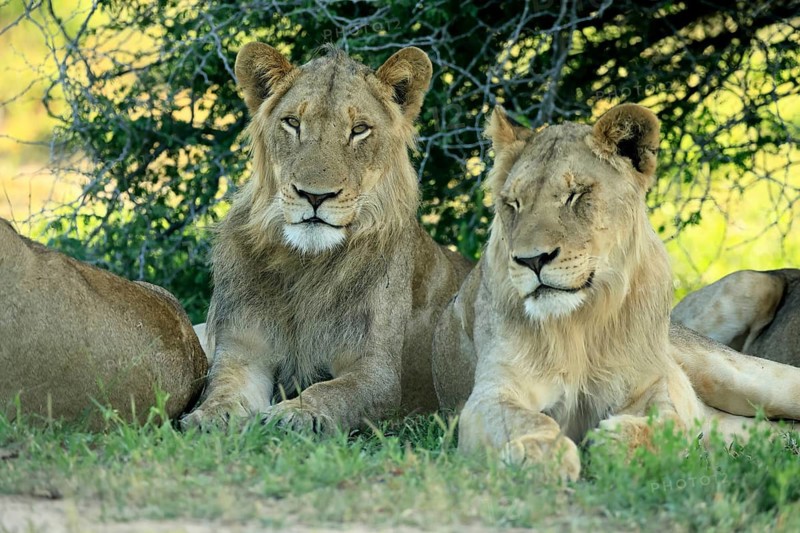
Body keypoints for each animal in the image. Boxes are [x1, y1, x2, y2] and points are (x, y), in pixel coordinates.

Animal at [181, 44, 472, 432]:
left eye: (359, 130)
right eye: (293, 123)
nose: (314, 196)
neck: (306, 265)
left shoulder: (377, 373)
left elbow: (332, 392)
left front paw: (294, 415)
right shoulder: (243, 351)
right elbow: (224, 388)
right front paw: (209, 418)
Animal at [431, 104, 800, 480]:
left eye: (577, 194)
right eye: (513, 204)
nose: (532, 259)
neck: (580, 324)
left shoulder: (649, 384)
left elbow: (670, 423)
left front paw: (617, 442)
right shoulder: (491, 393)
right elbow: (524, 420)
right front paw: (540, 453)